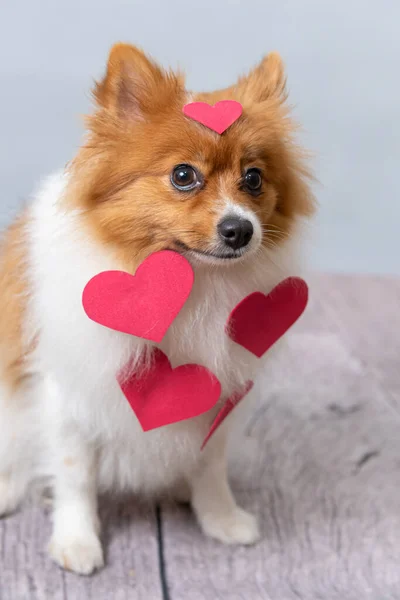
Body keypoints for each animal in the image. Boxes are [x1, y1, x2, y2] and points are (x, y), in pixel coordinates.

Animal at [0, 42, 314, 572]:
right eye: (183, 175)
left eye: (254, 179)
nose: (240, 229)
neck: (191, 283)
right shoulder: (69, 392)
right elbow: (75, 475)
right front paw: (77, 541)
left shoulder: (218, 395)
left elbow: (211, 465)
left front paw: (220, 517)